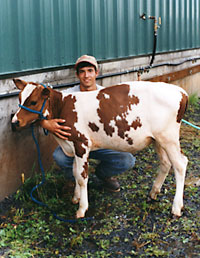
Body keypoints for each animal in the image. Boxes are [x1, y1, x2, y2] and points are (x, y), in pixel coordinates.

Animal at [11, 78, 188, 218]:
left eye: (33, 102)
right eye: (19, 98)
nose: (14, 122)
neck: (62, 106)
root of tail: (181, 91)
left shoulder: (81, 143)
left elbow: (82, 177)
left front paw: (82, 208)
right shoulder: (74, 147)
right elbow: (75, 173)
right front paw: (76, 198)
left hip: (169, 138)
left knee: (180, 164)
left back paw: (176, 207)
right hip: (158, 140)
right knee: (166, 163)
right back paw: (153, 193)